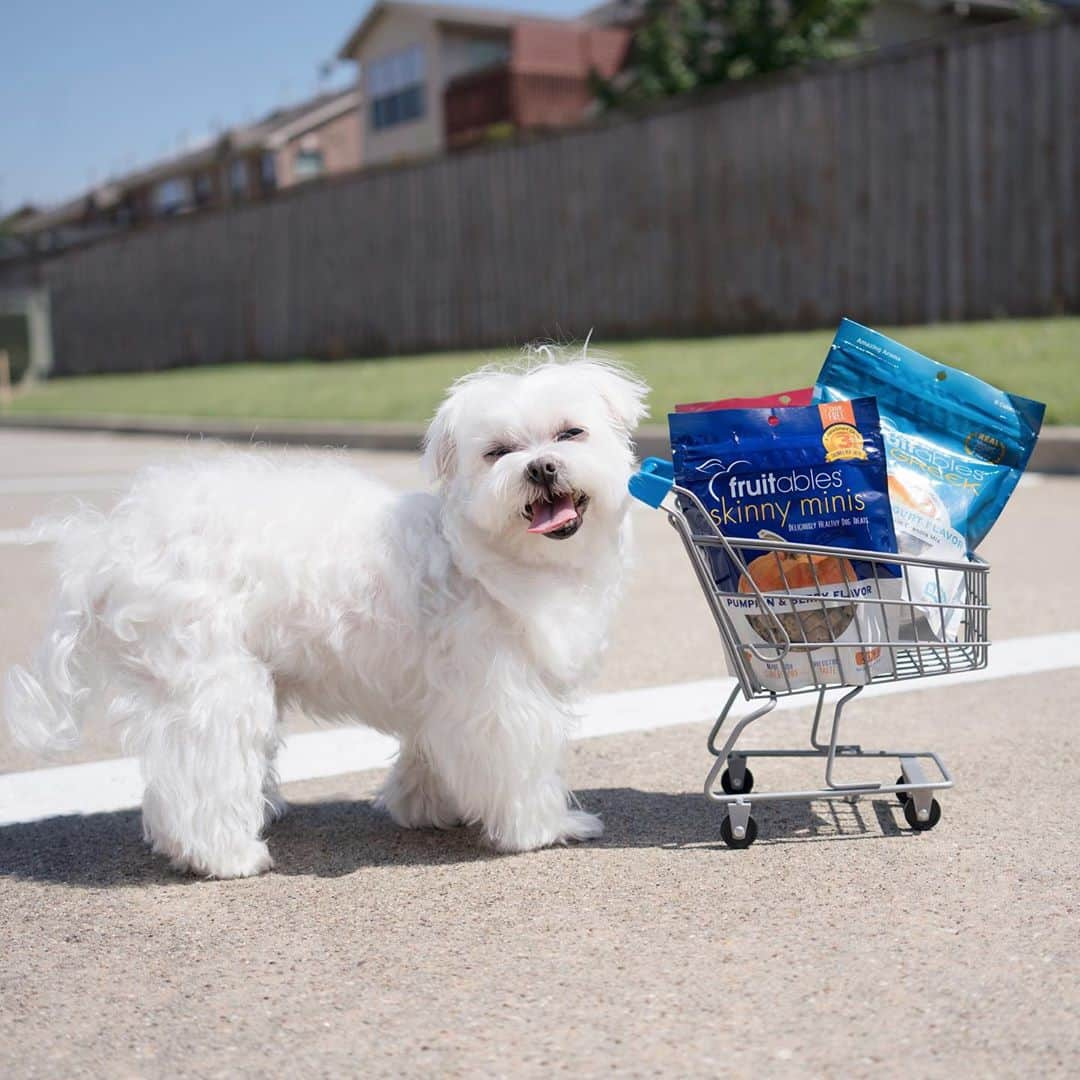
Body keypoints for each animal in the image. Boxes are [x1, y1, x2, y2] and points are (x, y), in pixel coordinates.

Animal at [4, 354, 643, 876]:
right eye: (499, 453)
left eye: (570, 433)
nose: (541, 468)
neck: (485, 551)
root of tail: (109, 543)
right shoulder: (499, 694)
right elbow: (518, 762)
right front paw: (545, 828)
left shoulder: (444, 694)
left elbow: (429, 751)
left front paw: (427, 805)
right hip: (213, 680)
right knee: (198, 771)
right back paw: (225, 854)